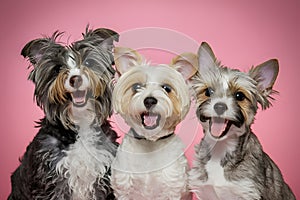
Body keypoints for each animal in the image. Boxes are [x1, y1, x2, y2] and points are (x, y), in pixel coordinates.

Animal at [110, 47, 197, 200]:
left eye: (167, 88)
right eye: (137, 87)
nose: (149, 100)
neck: (150, 143)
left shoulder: (172, 188)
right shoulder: (123, 188)